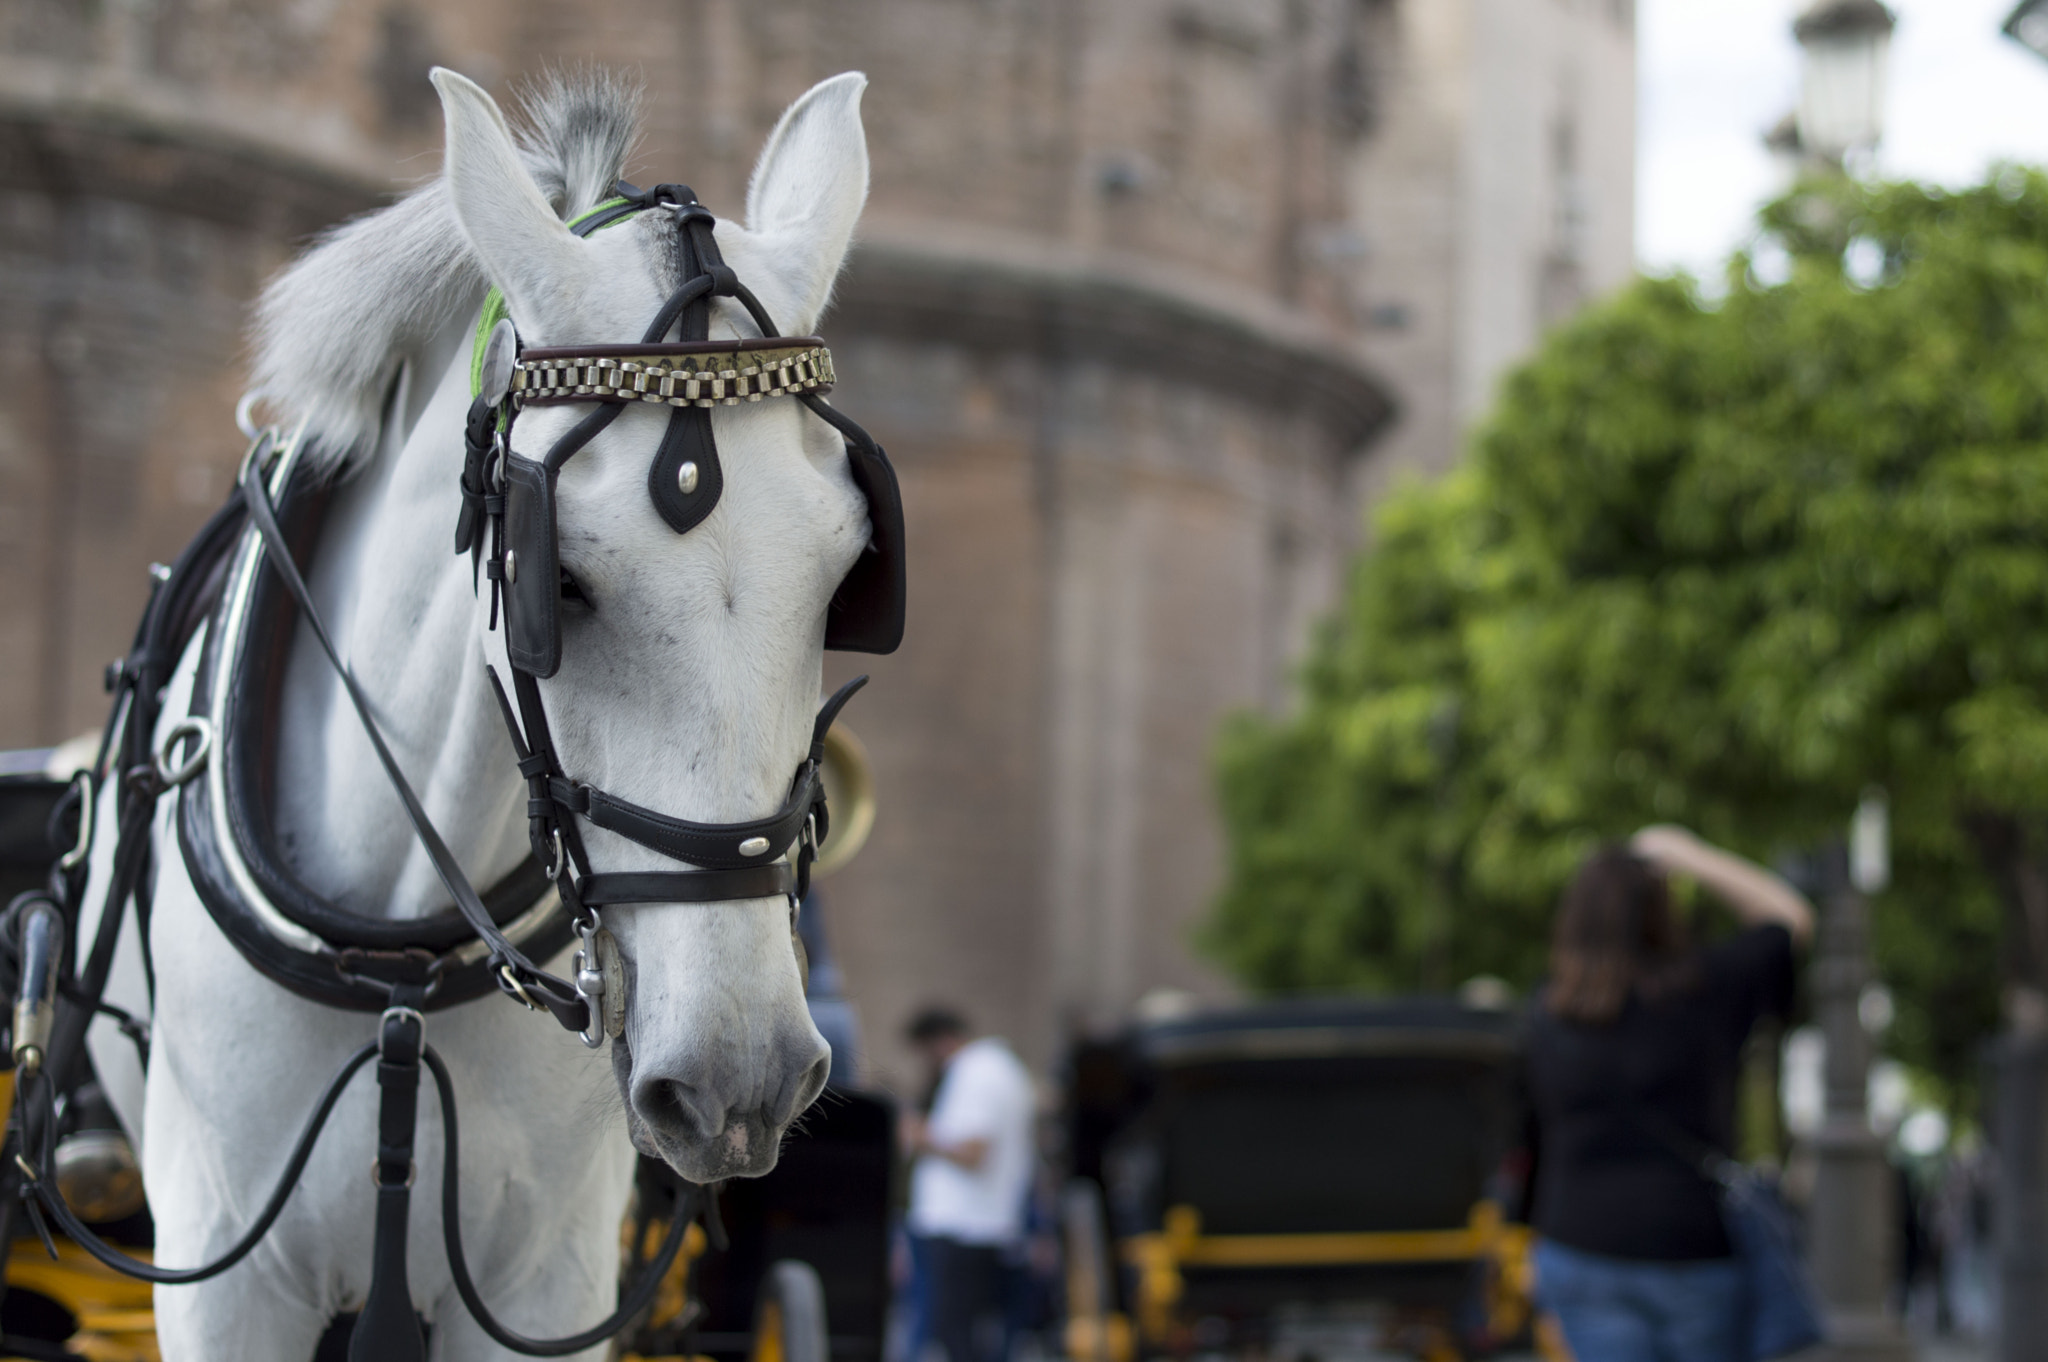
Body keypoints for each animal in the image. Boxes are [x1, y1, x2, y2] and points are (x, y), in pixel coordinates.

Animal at [77, 66, 872, 1359]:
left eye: (849, 573)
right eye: (561, 581)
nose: (737, 1078)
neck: (395, 965)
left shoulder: (545, 1282)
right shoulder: (221, 1274)